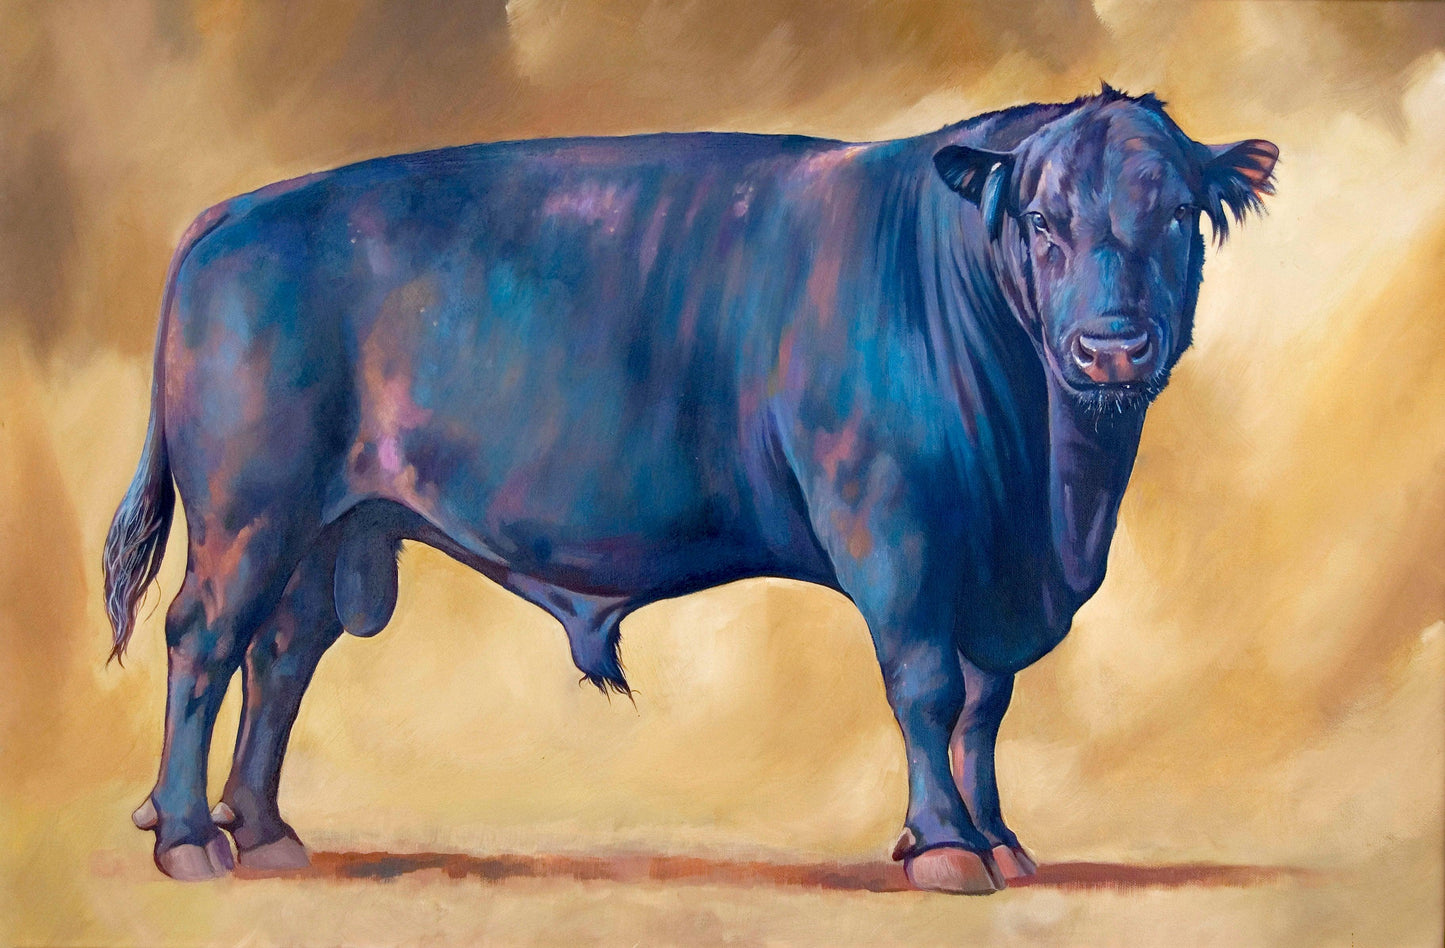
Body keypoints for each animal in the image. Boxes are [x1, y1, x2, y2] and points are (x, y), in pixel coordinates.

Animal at [104, 85, 1276, 893]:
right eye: (1040, 222)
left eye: (1177, 214)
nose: (1112, 347)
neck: (1046, 503)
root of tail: (238, 212)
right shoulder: (895, 532)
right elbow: (927, 688)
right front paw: (945, 848)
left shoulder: (992, 572)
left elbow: (986, 706)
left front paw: (1000, 840)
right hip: (248, 516)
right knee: (204, 640)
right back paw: (188, 838)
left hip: (328, 532)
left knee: (280, 657)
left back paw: (265, 833)